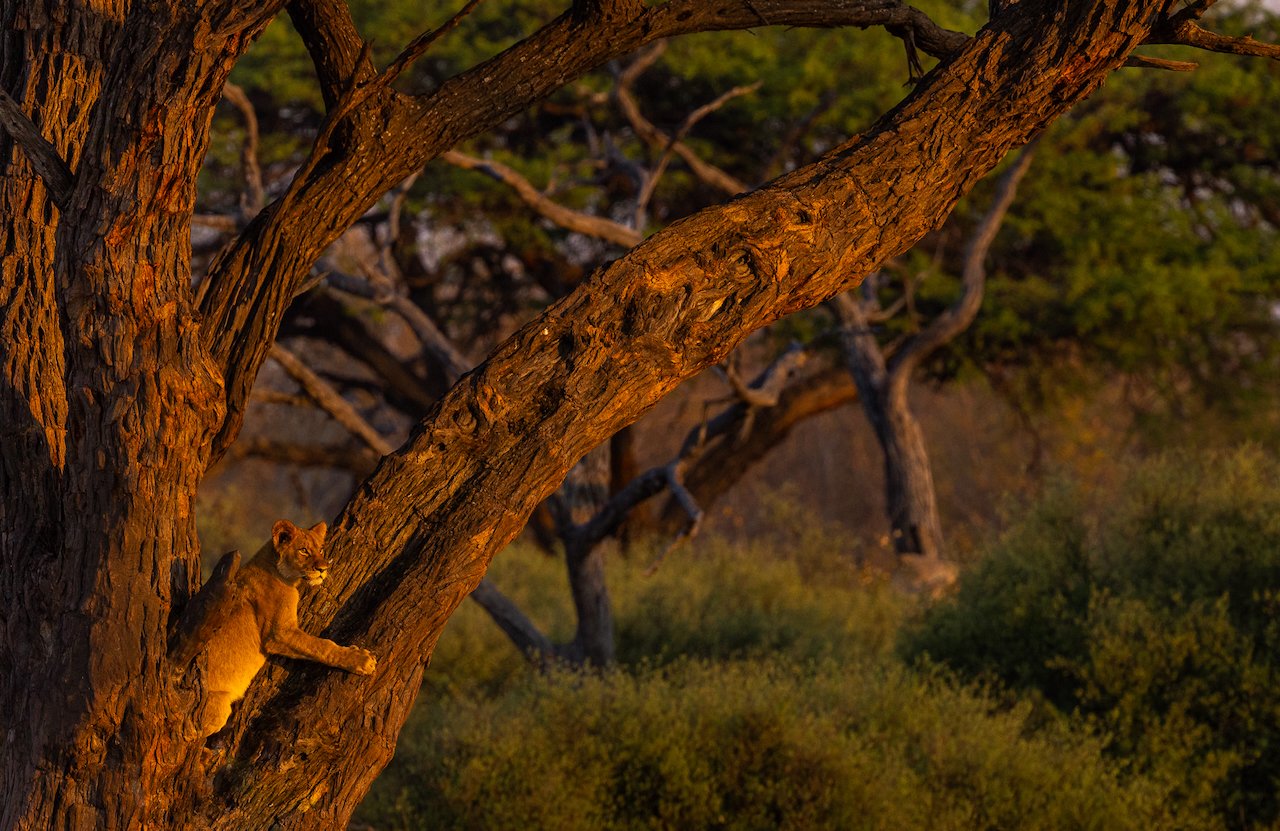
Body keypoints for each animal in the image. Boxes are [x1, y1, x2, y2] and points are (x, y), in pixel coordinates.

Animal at [169, 519, 376, 739]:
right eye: (303, 550)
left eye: (320, 549)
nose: (323, 568)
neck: (277, 568)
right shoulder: (279, 634)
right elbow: (321, 646)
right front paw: (361, 660)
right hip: (219, 706)